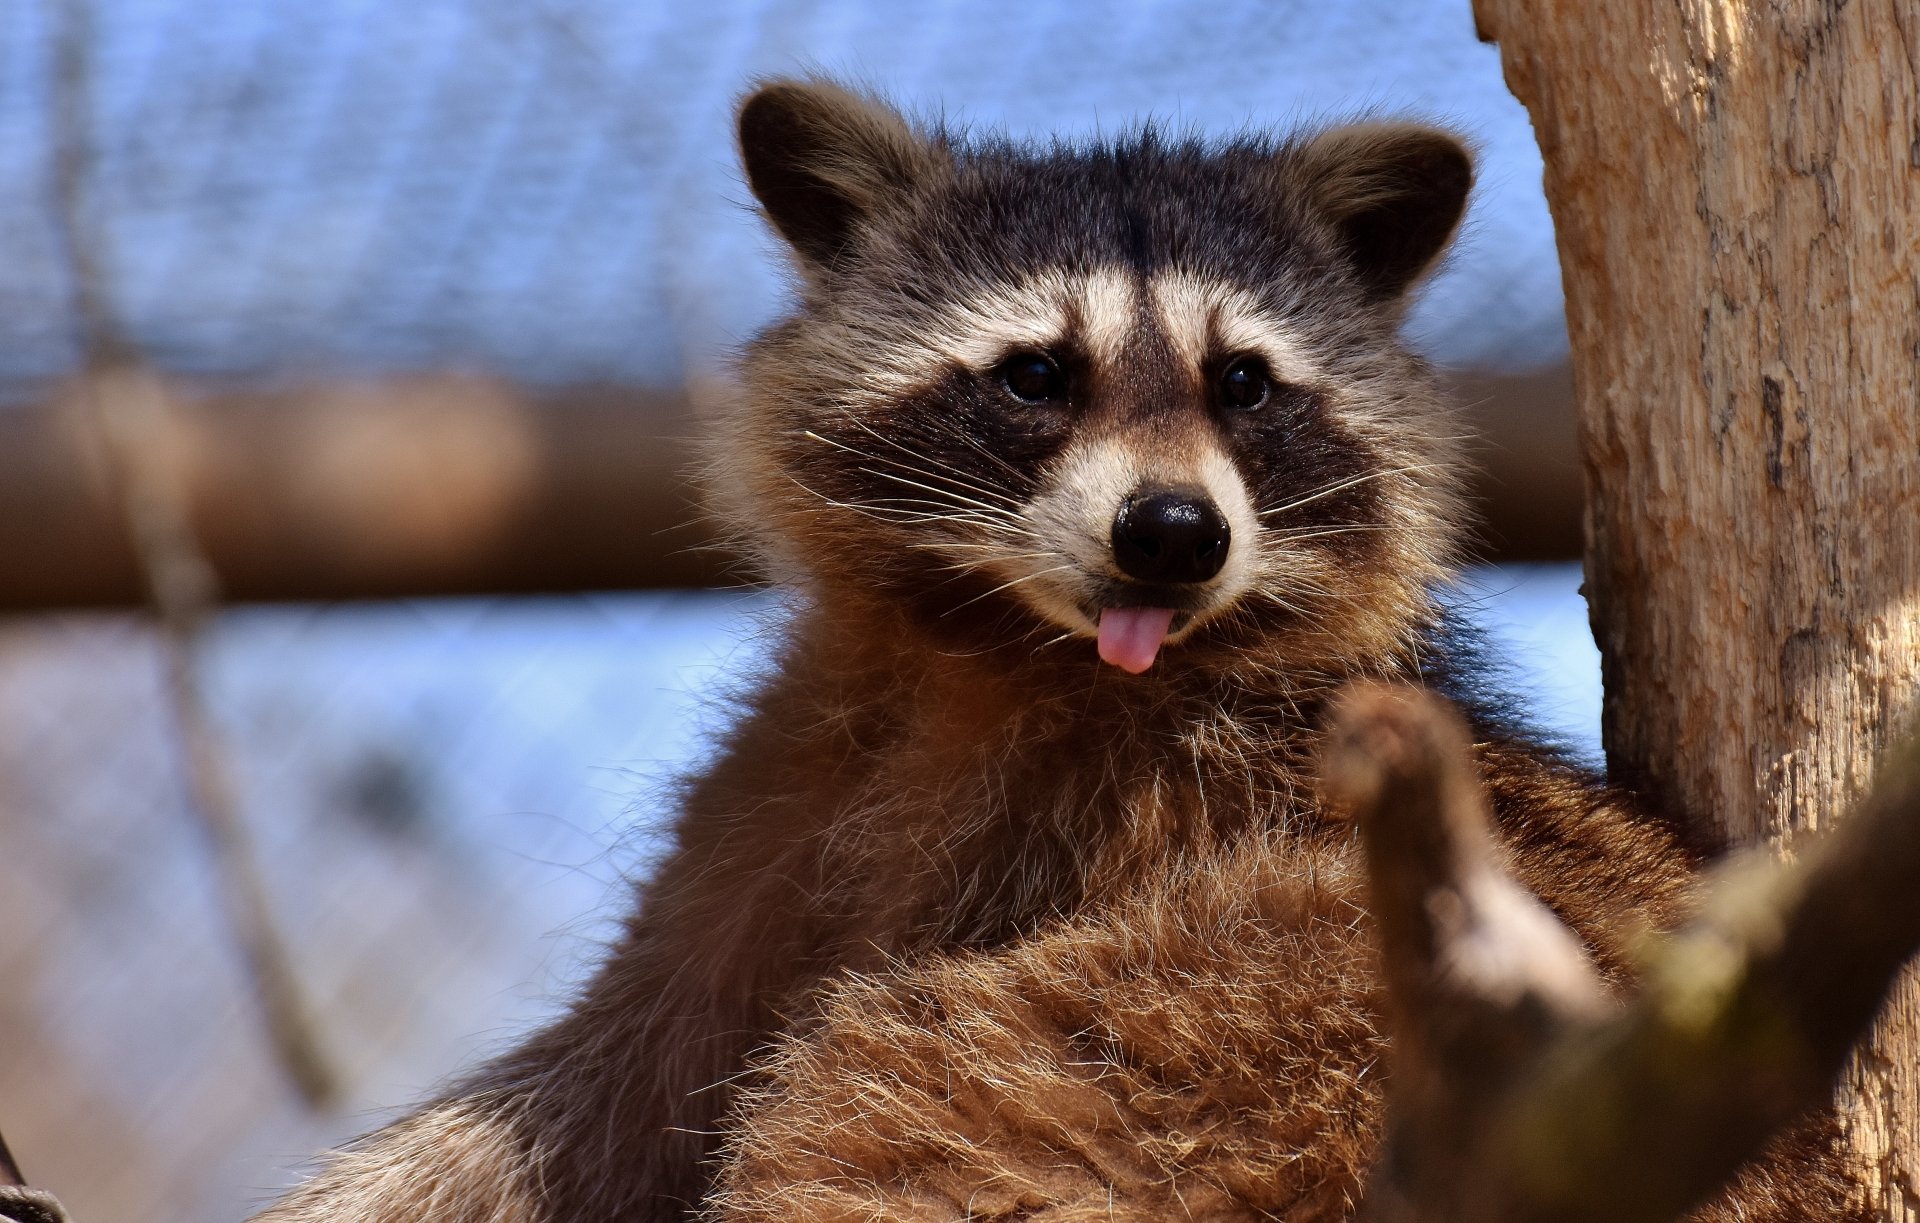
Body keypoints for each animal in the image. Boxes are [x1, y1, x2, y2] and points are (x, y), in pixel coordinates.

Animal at [255, 80, 1861, 1223]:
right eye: (1037, 374)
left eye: (1244, 384)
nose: (1173, 532)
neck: (1015, 652)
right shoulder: (789, 793)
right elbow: (603, 1076)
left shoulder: (1182, 821)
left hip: (1250, 1028)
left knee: (897, 1097)